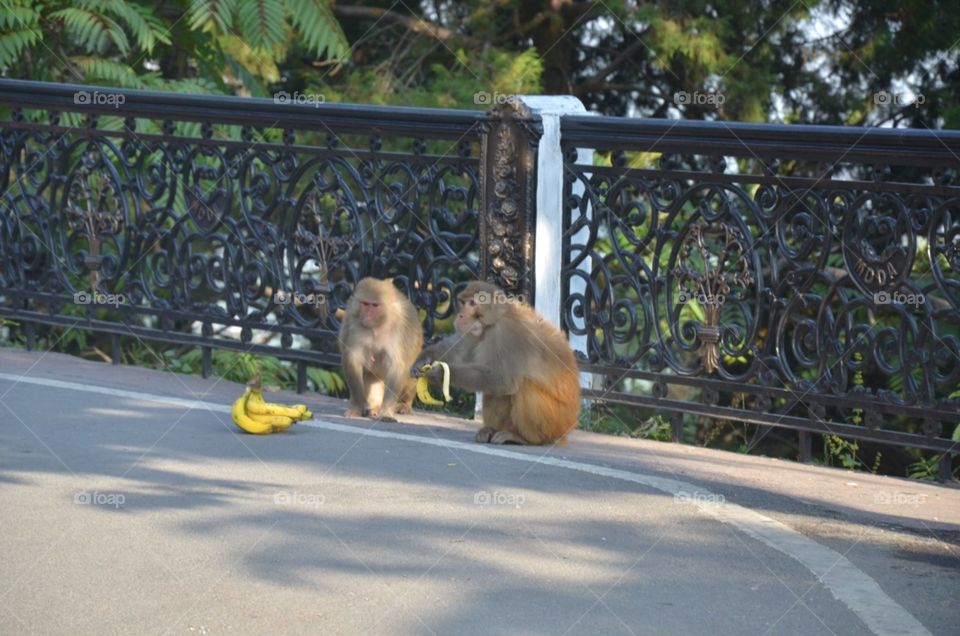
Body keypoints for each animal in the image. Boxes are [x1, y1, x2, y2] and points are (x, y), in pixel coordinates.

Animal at [339, 277, 423, 421]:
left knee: (409, 371)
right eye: (365, 304)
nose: (367, 315)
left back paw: (403, 404)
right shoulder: (354, 324)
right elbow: (353, 361)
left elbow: (397, 366)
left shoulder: (398, 329)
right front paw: (356, 408)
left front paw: (386, 412)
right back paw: (375, 407)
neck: (377, 326)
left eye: (374, 306)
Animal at [414, 281, 581, 445]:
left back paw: (523, 439)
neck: (497, 319)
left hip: (554, 424)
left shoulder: (507, 334)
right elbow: (459, 351)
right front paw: (423, 359)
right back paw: (492, 430)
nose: (460, 315)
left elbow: (503, 380)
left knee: (523, 387)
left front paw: (440, 374)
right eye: (463, 302)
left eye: (472, 303)